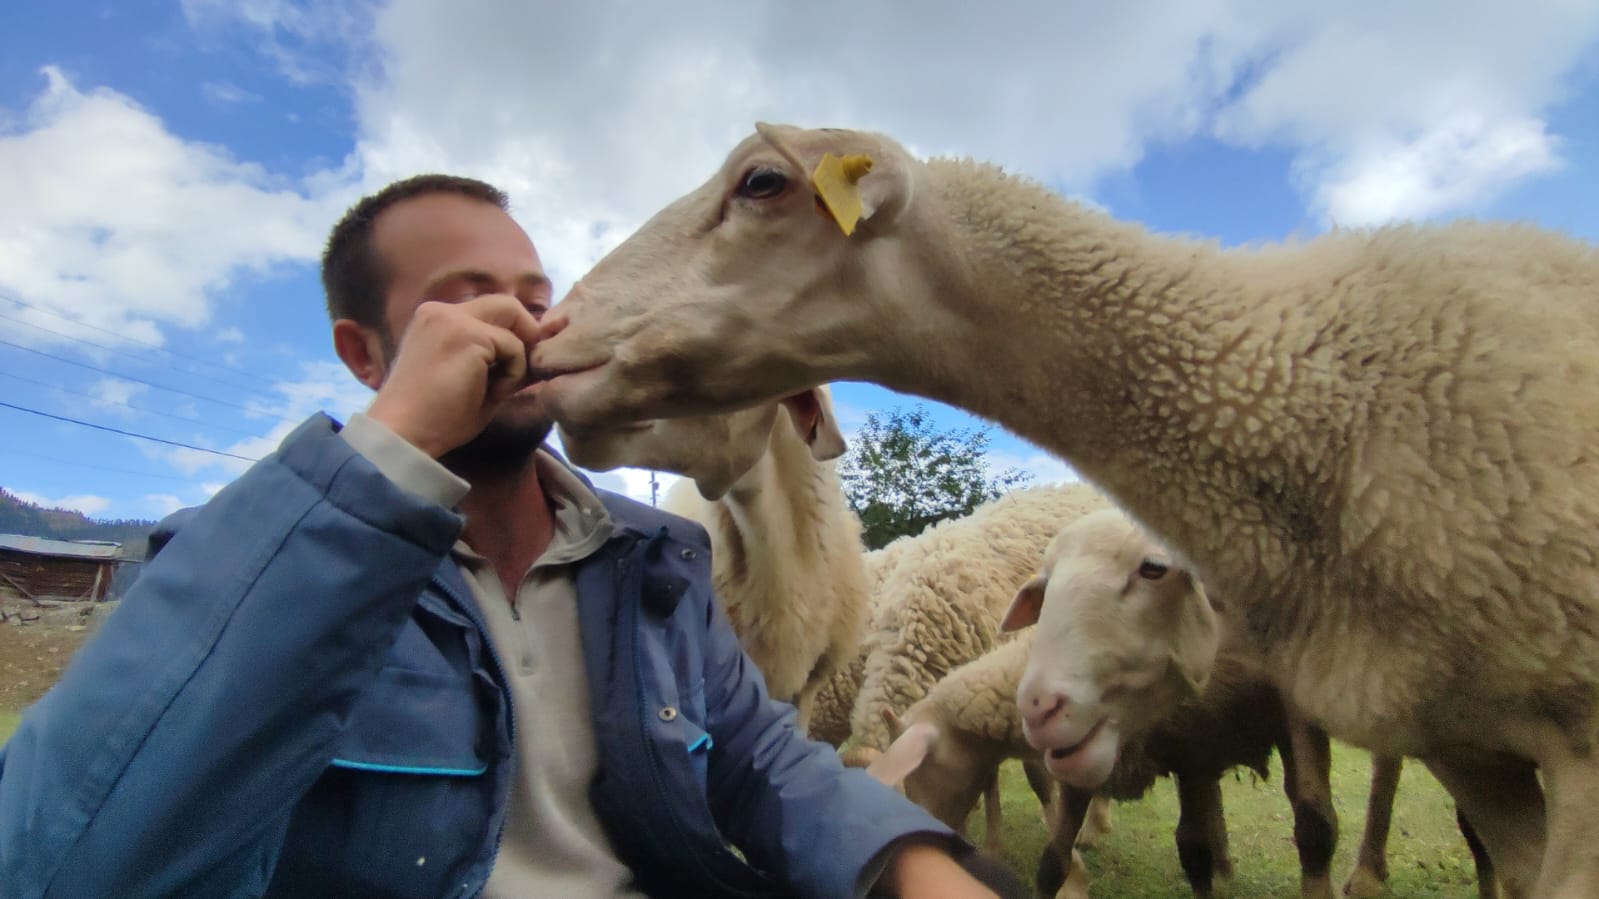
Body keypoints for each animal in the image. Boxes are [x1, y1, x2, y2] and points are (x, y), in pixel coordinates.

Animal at [1004, 508, 1343, 895]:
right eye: (1045, 588)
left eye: (1154, 568)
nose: (1039, 707)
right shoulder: (1189, 742)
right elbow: (1053, 860)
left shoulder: (1282, 719)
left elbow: (1314, 825)